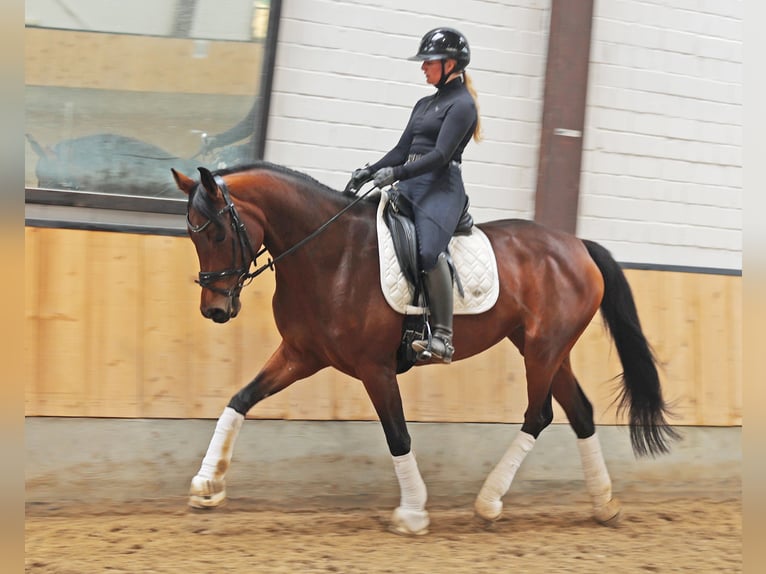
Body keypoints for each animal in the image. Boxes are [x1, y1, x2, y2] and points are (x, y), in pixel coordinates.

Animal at [171, 162, 679, 536]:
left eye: (217, 233)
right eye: (192, 234)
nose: (214, 309)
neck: (331, 254)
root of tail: (578, 245)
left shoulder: (375, 368)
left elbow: (398, 435)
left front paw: (413, 514)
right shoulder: (302, 354)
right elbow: (239, 400)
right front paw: (206, 485)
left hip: (542, 349)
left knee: (540, 415)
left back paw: (489, 503)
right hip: (547, 349)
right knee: (580, 413)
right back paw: (604, 504)